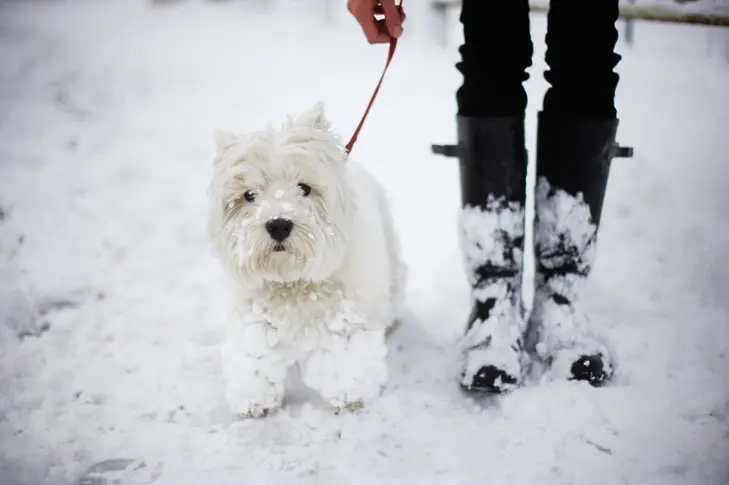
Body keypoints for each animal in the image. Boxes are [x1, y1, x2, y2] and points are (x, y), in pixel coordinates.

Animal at [208, 101, 406, 416]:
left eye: (304, 187)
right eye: (249, 195)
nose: (278, 225)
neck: (293, 282)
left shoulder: (345, 315)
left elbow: (345, 358)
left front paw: (350, 396)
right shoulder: (253, 315)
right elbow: (254, 357)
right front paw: (253, 400)